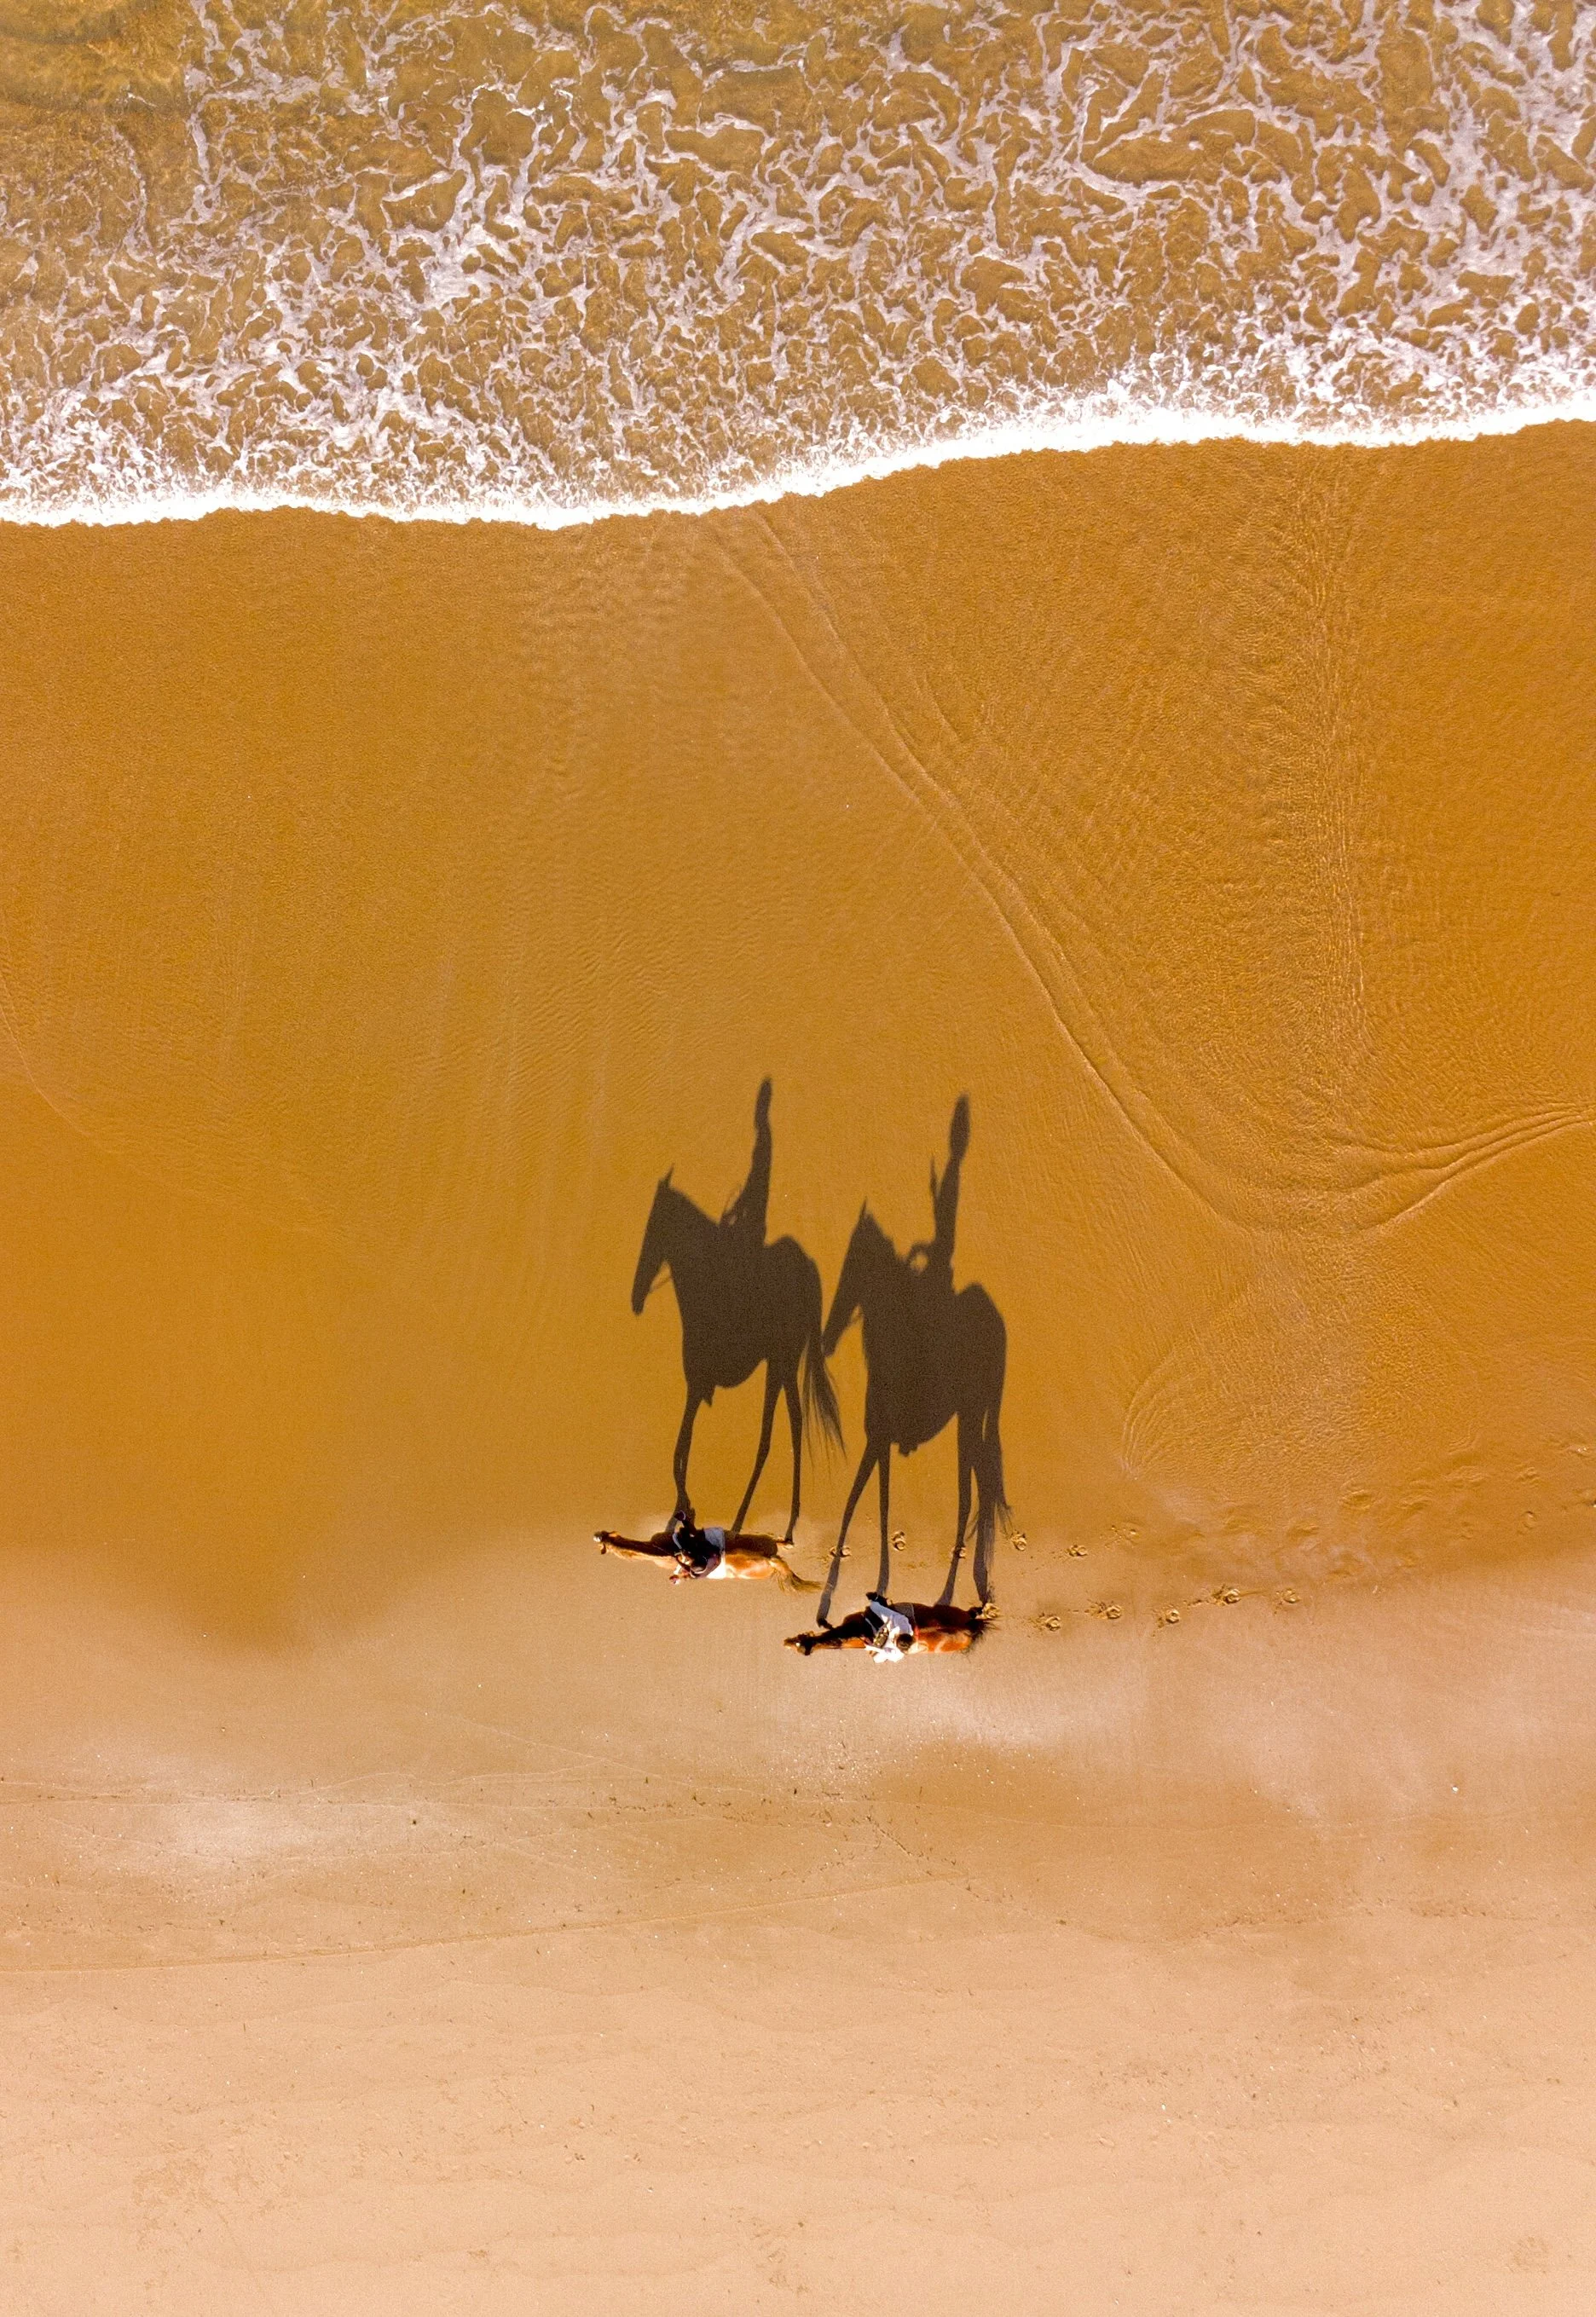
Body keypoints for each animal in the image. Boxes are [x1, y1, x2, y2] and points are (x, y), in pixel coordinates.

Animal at [631, 1175, 843, 1540]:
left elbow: (679, 1449)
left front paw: (686, 1507)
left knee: (772, 1433)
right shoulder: (698, 1387)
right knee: (793, 1421)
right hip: (782, 1364)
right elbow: (682, 1448)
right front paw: (684, 1507)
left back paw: (751, 1520)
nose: (636, 1298)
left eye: (655, 1225)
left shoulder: (697, 1384)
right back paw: (788, 1516)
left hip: (780, 1361)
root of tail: (806, 1268)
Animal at [819, 1205, 1008, 1618]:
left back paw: (956, 1587)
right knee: (980, 1484)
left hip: (972, 1416)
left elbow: (868, 1501)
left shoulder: (879, 1440)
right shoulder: (879, 1441)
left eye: (854, 1266)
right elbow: (871, 1500)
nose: (827, 1339)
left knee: (971, 1490)